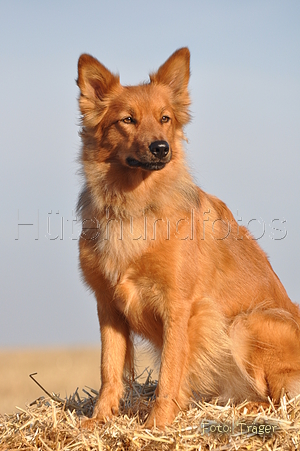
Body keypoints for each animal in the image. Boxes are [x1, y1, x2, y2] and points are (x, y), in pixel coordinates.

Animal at [76, 47, 300, 430]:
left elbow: (170, 371)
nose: (160, 148)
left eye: (164, 118)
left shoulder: (178, 306)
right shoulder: (108, 306)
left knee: (275, 399)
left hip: (248, 323)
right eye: (127, 120)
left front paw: (157, 424)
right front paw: (99, 420)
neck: (135, 206)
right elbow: (110, 369)